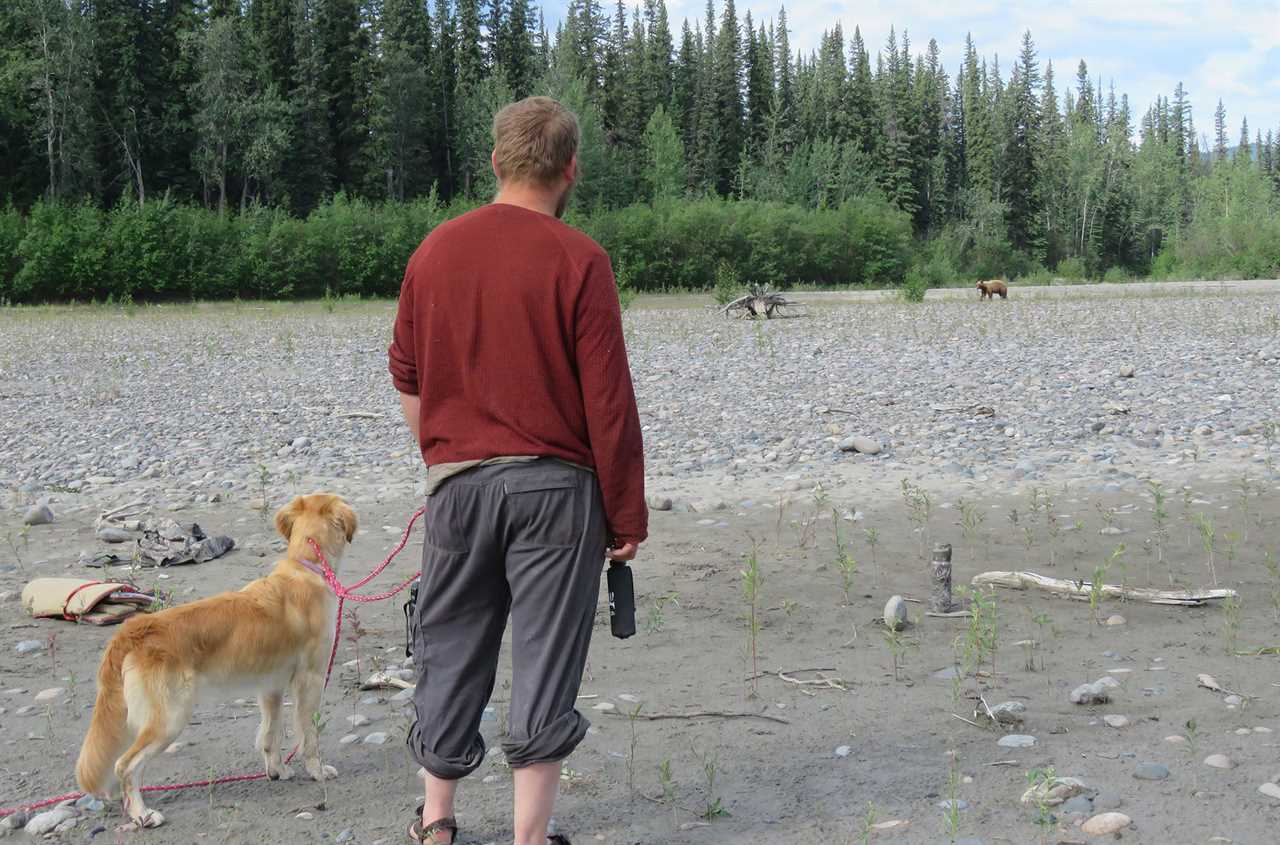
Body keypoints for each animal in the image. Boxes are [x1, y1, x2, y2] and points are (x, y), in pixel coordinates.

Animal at [75, 491, 358, 829]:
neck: (307, 567)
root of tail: (134, 629)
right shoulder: (311, 679)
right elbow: (308, 733)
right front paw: (316, 770)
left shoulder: (271, 686)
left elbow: (270, 733)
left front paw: (277, 770)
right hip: (170, 718)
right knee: (125, 765)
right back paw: (142, 813)